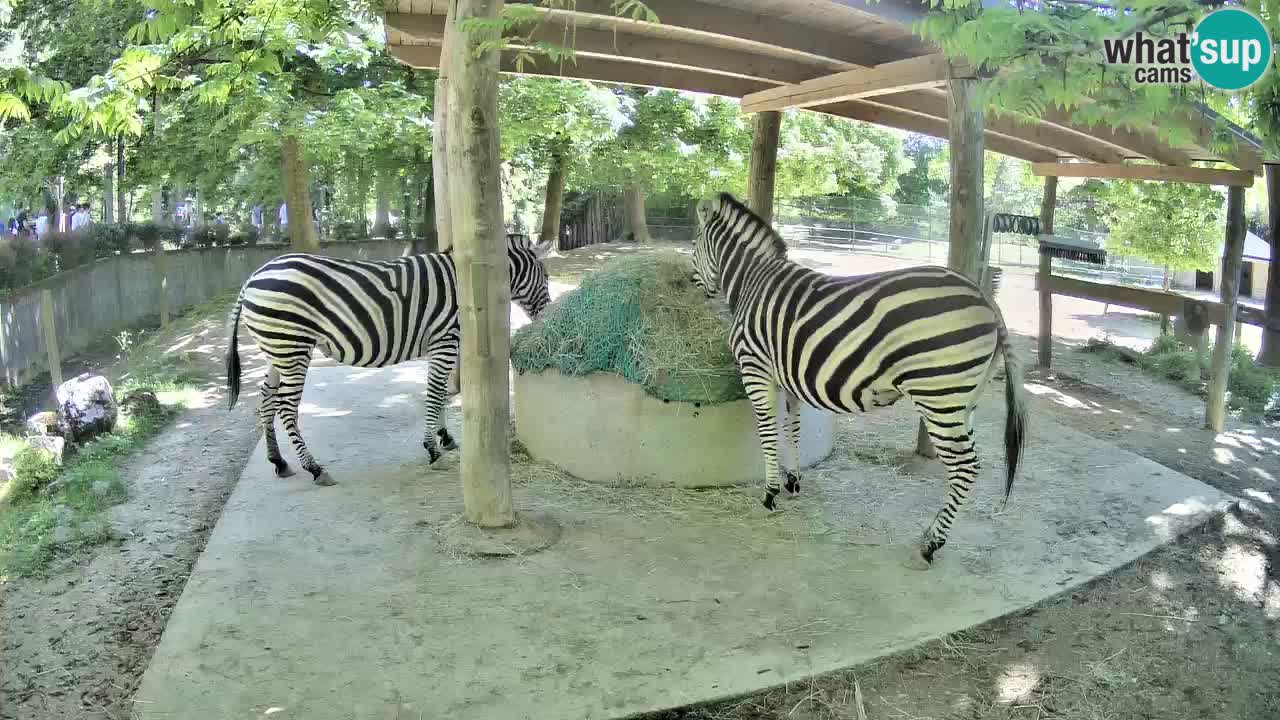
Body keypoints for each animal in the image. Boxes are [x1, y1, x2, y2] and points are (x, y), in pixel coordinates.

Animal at [224, 236, 553, 485]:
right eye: (547, 277)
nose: (547, 315)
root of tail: (254, 276)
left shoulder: (442, 345)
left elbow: (440, 392)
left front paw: (444, 437)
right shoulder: (445, 340)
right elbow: (435, 394)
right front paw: (432, 448)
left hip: (277, 348)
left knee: (266, 399)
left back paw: (278, 462)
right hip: (292, 346)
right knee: (286, 408)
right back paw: (314, 468)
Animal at [690, 192, 1027, 570]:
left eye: (694, 241)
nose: (691, 283)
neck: (753, 280)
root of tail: (986, 299)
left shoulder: (754, 366)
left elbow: (767, 432)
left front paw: (770, 493)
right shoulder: (786, 377)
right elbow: (793, 429)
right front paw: (793, 481)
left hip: (938, 396)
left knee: (964, 468)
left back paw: (931, 545)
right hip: (963, 400)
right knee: (970, 465)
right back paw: (930, 535)